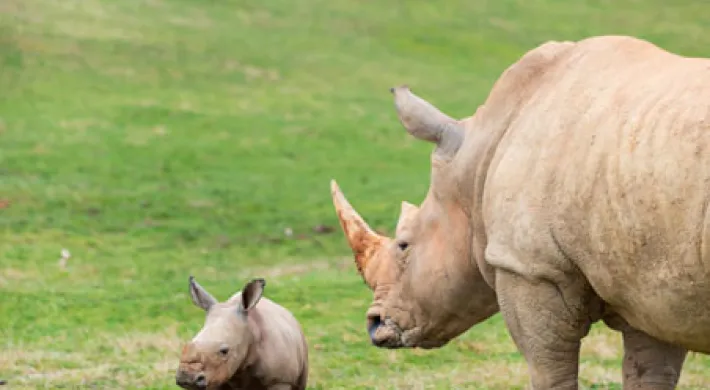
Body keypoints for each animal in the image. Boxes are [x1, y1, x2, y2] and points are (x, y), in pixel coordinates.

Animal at [330, 34, 708, 390]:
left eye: (404, 245)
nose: (374, 324)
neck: (477, 161)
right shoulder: (649, 286)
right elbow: (650, 373)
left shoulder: (529, 267)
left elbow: (549, 372)